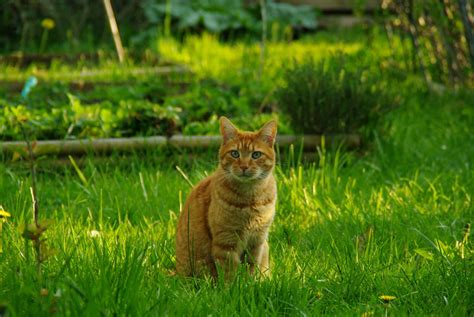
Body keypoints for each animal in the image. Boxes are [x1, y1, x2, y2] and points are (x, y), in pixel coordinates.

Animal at [176, 115, 276, 276]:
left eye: (256, 155)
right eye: (235, 153)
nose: (244, 166)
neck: (249, 200)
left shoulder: (257, 242)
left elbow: (251, 268)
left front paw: (251, 282)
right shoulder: (225, 242)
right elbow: (230, 274)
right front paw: (235, 283)